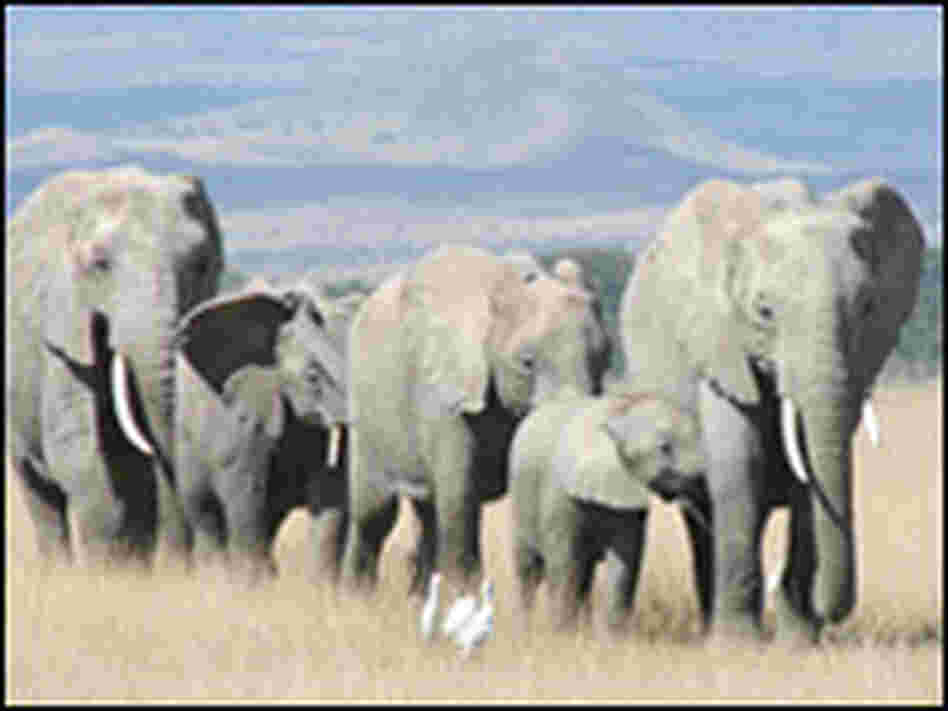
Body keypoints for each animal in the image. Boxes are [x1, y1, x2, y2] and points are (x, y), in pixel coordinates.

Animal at [7, 165, 224, 567]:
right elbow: (79, 443)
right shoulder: (66, 314)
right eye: (99, 265)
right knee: (38, 489)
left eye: (202, 264)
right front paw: (111, 569)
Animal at [173, 279, 353, 583]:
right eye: (312, 377)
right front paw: (252, 585)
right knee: (204, 511)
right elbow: (246, 490)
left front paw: (321, 589)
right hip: (186, 442)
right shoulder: (242, 418)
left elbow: (331, 494)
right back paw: (216, 578)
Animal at [341, 245, 612, 601]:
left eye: (605, 358)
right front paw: (466, 599)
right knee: (375, 512)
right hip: (365, 408)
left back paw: (418, 599)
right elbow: (460, 496)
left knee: (428, 513)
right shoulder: (445, 395)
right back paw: (356, 598)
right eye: (527, 363)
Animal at [509, 389, 709, 633]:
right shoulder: (559, 493)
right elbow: (564, 562)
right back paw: (525, 628)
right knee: (529, 569)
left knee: (584, 574)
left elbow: (625, 560)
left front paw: (614, 636)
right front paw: (563, 635)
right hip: (519, 498)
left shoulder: (626, 494)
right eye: (665, 448)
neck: (619, 413)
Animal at [619, 177, 925, 644]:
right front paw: (737, 644)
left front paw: (797, 642)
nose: (826, 611)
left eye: (867, 307)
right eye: (764, 311)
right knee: (703, 514)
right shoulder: (719, 338)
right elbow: (739, 464)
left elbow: (809, 480)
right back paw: (713, 624)